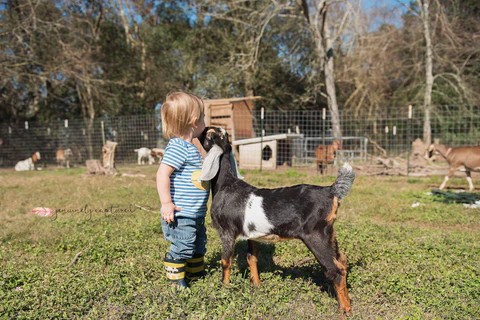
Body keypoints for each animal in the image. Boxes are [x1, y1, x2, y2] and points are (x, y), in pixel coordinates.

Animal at [197, 127, 354, 316]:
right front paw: (256, 286)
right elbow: (252, 258)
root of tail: (330, 190)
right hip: (329, 234)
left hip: (316, 236)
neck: (226, 185)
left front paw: (225, 289)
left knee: (335, 269)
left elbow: (225, 261)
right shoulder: (251, 235)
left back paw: (345, 309)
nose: (200, 130)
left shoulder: (227, 232)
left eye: (209, 133)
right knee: (342, 260)